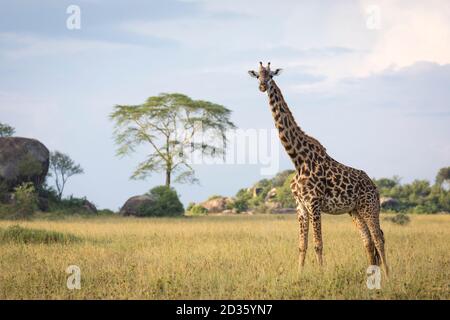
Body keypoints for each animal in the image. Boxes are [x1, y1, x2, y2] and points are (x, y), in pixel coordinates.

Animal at [248, 62, 388, 276]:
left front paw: (322, 274)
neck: (298, 160)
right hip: (355, 210)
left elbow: (318, 244)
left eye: (271, 75)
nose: (262, 86)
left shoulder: (314, 203)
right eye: (257, 76)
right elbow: (302, 245)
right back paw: (373, 274)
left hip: (370, 207)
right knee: (368, 241)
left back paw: (388, 275)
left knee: (379, 237)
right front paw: (299, 274)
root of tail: (375, 186)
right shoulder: (301, 206)